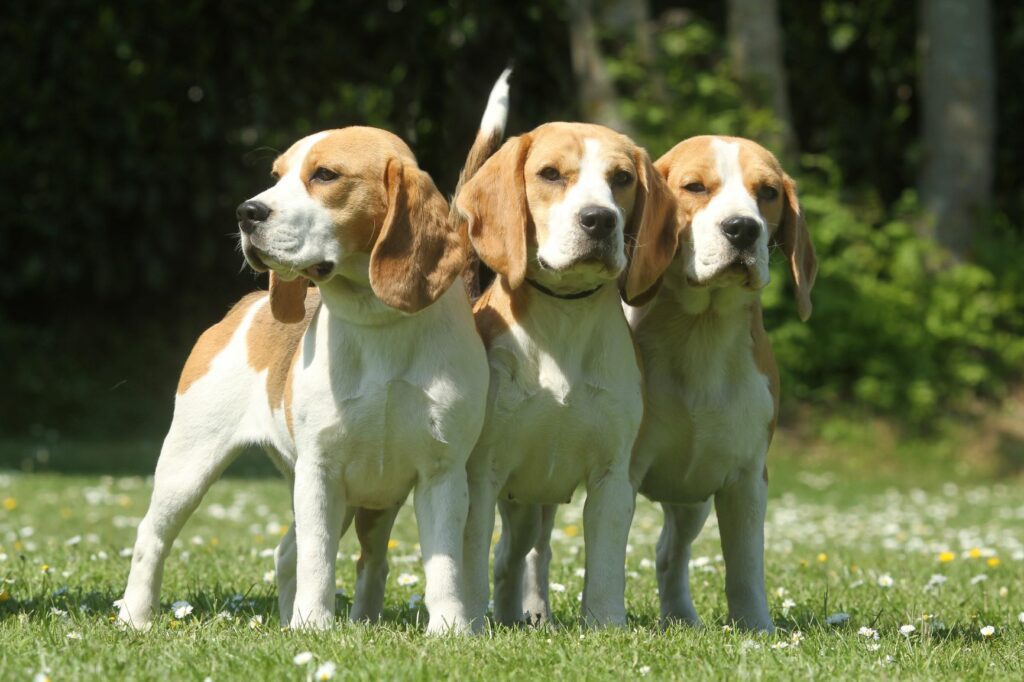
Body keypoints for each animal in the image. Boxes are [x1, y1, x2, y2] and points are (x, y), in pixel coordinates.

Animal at [118, 123, 487, 630]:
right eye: (275, 176)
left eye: (325, 175)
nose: (247, 213)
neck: (378, 323)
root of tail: (244, 307)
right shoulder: (320, 469)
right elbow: (318, 557)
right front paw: (314, 624)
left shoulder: (442, 472)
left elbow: (444, 564)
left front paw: (449, 629)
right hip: (188, 464)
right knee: (151, 537)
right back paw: (135, 615)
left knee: (300, 554)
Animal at [452, 122, 675, 626]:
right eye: (550, 174)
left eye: (622, 178)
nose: (600, 220)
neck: (563, 317)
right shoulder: (481, 475)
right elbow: (471, 558)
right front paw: (469, 622)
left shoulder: (613, 475)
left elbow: (606, 567)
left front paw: (606, 625)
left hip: (535, 506)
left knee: (524, 557)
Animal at [626, 135, 819, 630]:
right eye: (695, 187)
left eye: (768, 192)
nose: (742, 229)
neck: (703, 329)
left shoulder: (748, 478)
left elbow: (746, 565)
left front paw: (756, 627)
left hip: (692, 496)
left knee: (668, 553)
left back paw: (680, 616)